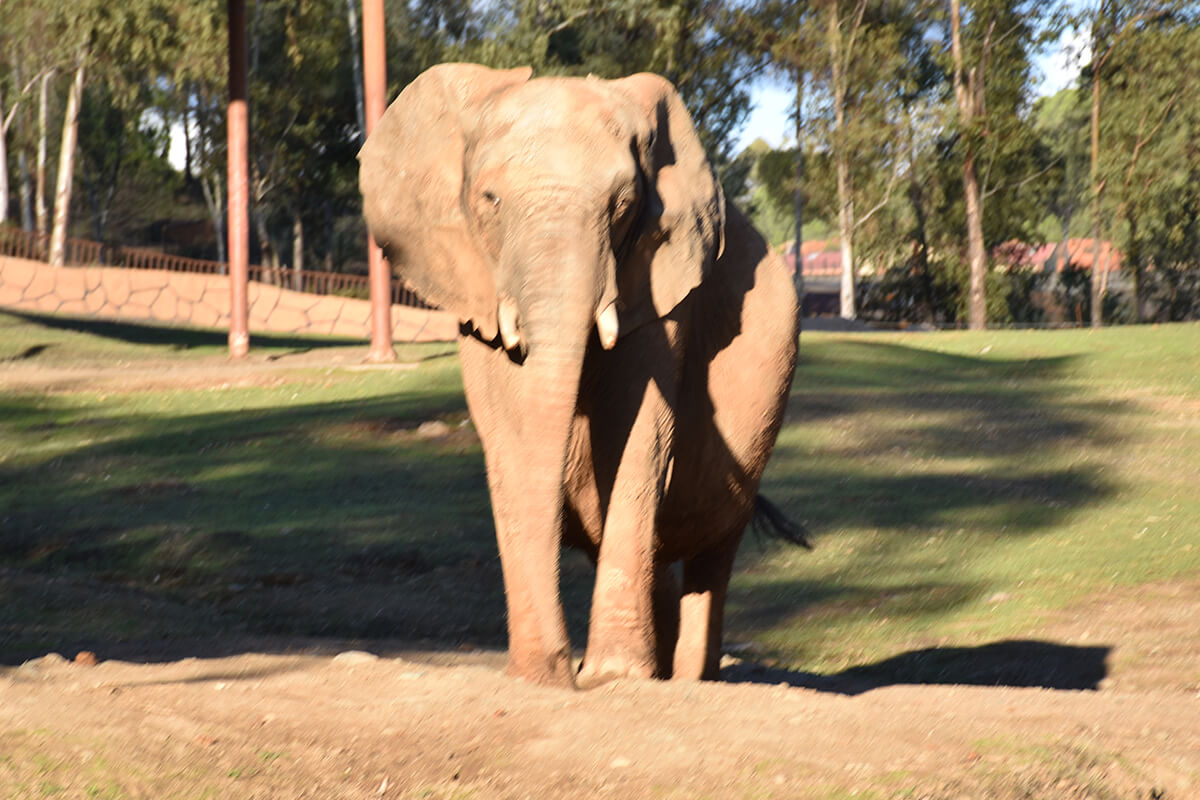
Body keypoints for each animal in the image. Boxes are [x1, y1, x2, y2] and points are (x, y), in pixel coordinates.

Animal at [360, 64, 801, 690]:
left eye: (622, 203)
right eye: (489, 200)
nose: (559, 670)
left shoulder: (658, 286)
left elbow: (640, 430)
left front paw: (612, 676)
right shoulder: (473, 288)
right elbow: (508, 438)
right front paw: (535, 676)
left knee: (714, 555)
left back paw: (687, 677)